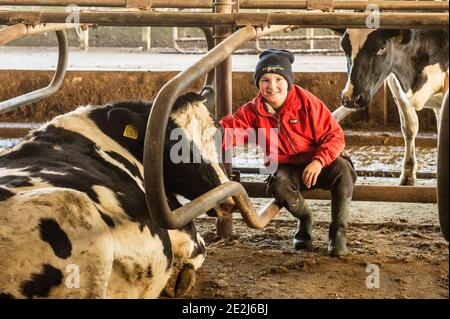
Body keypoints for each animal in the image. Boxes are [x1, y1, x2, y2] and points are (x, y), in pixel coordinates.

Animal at [0, 92, 232, 300]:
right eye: (177, 149)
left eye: (219, 137)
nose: (227, 202)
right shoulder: (182, 228)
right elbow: (199, 248)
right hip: (75, 210)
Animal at [340, 28, 448, 186]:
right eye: (344, 46)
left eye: (381, 48)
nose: (350, 98)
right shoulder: (394, 78)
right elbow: (409, 127)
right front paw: (408, 173)